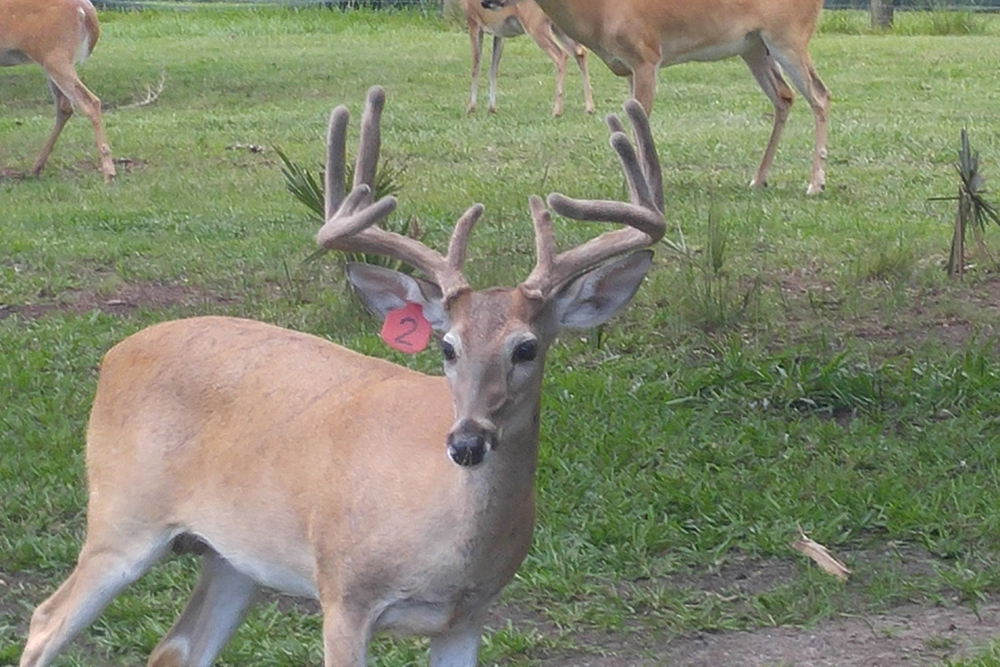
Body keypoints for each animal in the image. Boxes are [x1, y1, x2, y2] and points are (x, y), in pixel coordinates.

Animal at [0, 0, 115, 183]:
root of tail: (86, 9)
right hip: (51, 59)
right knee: (65, 107)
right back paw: (35, 168)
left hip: (56, 55)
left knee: (90, 102)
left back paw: (108, 174)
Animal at [18, 85, 666, 667]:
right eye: (447, 347)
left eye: (527, 347)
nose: (466, 442)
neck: (446, 545)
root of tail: (115, 355)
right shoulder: (344, 594)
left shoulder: (468, 616)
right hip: (122, 514)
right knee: (45, 620)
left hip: (232, 555)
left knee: (175, 648)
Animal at [462, 0, 594, 116]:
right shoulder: (498, 31)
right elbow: (493, 68)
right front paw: (492, 108)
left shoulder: (473, 21)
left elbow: (475, 66)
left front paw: (470, 108)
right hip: (559, 26)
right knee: (580, 51)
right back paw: (589, 108)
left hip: (535, 24)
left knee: (561, 54)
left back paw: (556, 111)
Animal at [481, 0, 830, 195]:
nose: (486, 0)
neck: (598, 12)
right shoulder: (628, 68)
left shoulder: (646, 57)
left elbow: (640, 122)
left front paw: (639, 187)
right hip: (754, 46)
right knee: (784, 96)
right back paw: (759, 180)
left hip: (787, 35)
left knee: (820, 95)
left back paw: (815, 183)